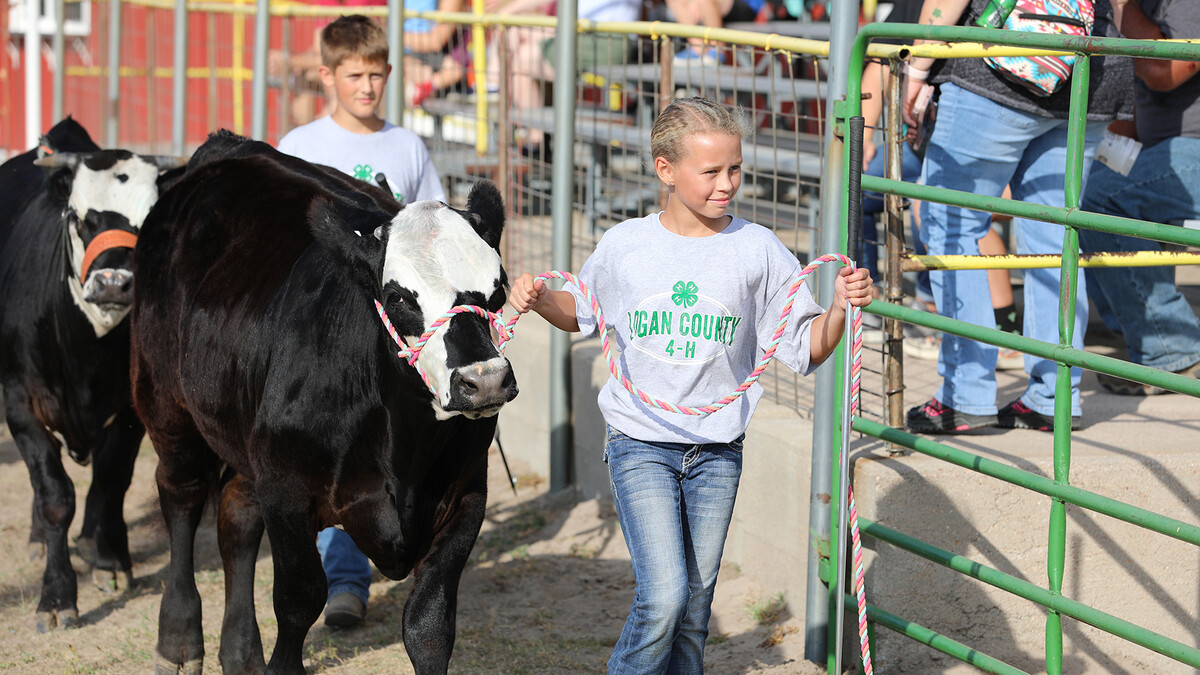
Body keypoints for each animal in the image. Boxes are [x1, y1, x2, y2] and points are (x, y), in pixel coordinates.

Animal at [0, 117, 186, 629]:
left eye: (146, 223)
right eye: (81, 219)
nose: (114, 284)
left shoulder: (131, 409)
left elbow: (111, 479)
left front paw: (110, 560)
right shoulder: (20, 403)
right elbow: (53, 495)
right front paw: (57, 595)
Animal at [131, 131, 516, 672]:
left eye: (498, 289)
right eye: (399, 298)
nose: (484, 381)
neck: (404, 450)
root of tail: (226, 148)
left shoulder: (466, 498)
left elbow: (430, 624)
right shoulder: (288, 492)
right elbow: (299, 600)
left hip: (249, 443)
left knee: (236, 519)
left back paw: (240, 651)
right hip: (165, 402)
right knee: (181, 498)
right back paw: (179, 640)